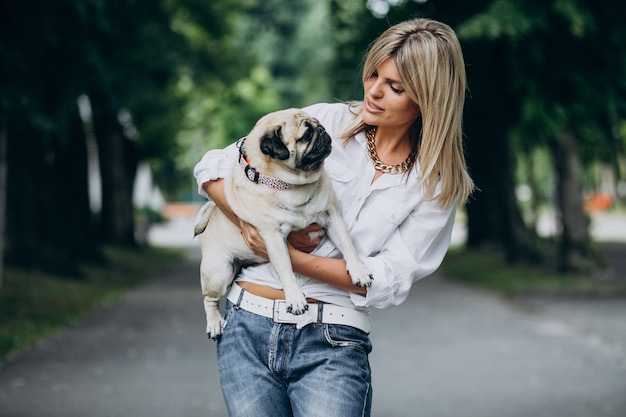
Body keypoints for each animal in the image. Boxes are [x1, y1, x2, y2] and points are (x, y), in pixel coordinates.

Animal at [195, 107, 370, 338]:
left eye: (319, 124)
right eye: (306, 135)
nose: (322, 131)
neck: (290, 185)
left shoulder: (332, 216)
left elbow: (348, 246)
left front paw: (359, 270)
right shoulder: (272, 237)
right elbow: (286, 268)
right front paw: (295, 299)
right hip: (218, 271)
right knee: (209, 299)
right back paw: (214, 323)